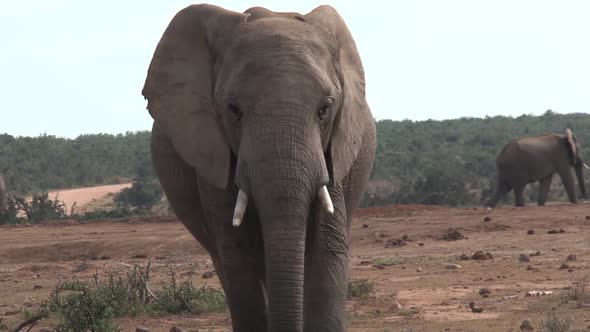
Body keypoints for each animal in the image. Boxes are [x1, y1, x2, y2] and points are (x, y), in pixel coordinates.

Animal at [141, 3, 376, 330]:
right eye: (233, 110)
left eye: (324, 110)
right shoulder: (212, 155)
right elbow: (238, 256)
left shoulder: (334, 151)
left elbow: (327, 249)